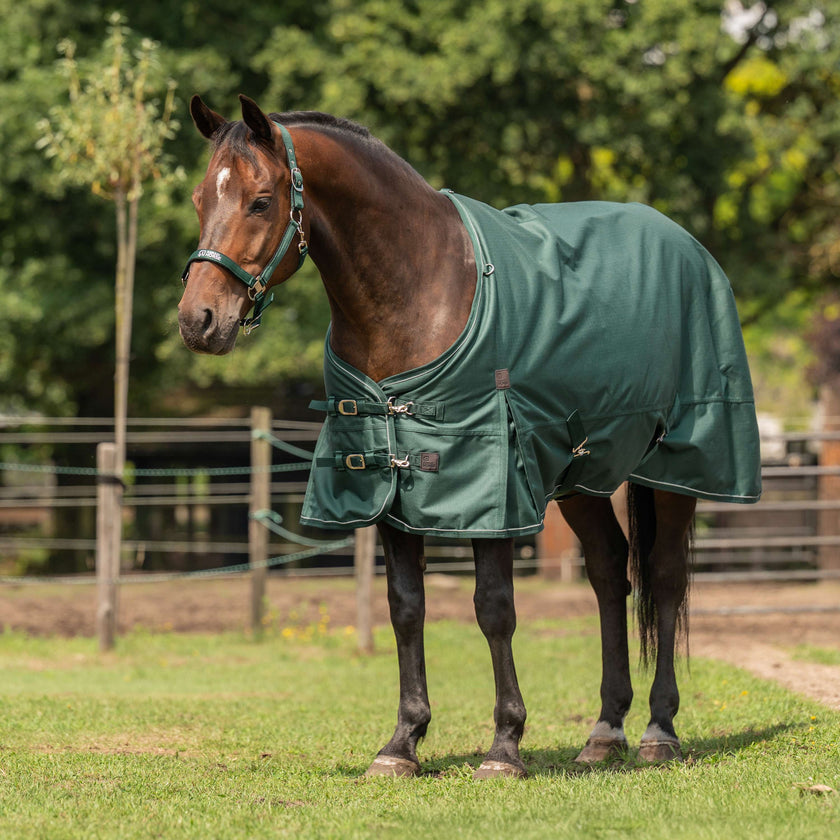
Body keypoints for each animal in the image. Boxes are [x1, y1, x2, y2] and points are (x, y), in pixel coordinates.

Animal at [178, 94, 761, 778]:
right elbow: (406, 606)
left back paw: (658, 730)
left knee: (665, 578)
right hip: (580, 477)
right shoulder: (390, 486)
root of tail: (692, 248)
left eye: (261, 201)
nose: (198, 320)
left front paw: (505, 745)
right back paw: (604, 731)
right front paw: (402, 743)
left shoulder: (492, 487)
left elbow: (494, 608)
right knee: (608, 572)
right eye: (200, 199)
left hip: (677, 467)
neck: (419, 289)